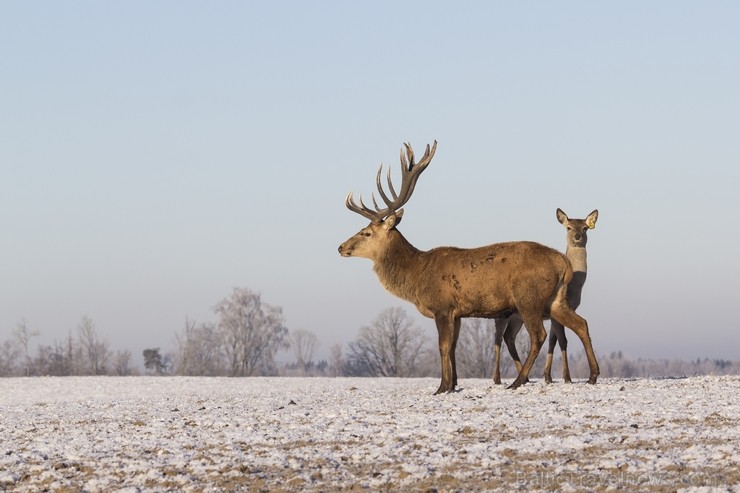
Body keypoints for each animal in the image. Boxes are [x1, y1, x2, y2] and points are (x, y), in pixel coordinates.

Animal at [494, 208, 600, 384]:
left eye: (585, 228)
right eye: (568, 227)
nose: (578, 236)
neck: (574, 288)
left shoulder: (555, 313)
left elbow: (553, 341)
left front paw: (548, 377)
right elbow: (563, 341)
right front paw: (567, 377)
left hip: (517, 317)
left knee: (508, 336)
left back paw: (524, 376)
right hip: (502, 315)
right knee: (497, 338)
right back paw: (497, 378)